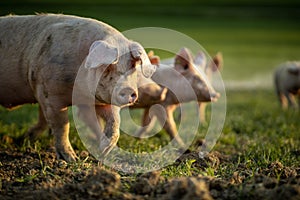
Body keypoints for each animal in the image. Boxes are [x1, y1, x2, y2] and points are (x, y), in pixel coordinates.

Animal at [0, 13, 159, 161]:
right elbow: (62, 125)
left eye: (132, 64)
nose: (128, 90)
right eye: (107, 66)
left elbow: (114, 121)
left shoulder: (101, 100)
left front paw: (103, 151)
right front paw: (71, 159)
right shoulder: (48, 93)